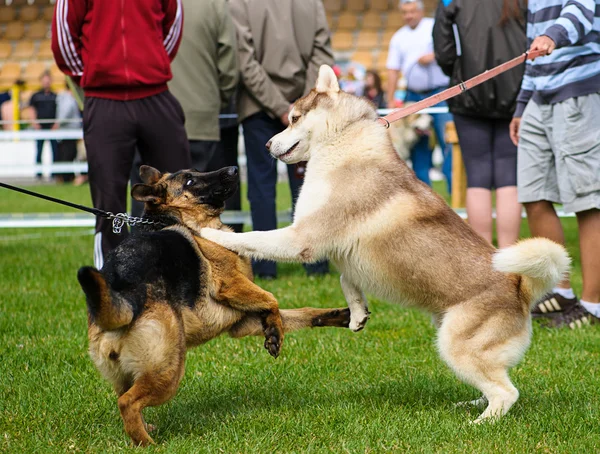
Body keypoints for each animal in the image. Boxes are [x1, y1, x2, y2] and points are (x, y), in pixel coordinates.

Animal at [77, 165, 350, 446]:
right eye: (189, 181)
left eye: (194, 171)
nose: (233, 168)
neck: (177, 218)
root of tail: (119, 296)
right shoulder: (230, 285)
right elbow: (272, 299)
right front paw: (275, 331)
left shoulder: (242, 321)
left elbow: (299, 312)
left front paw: (339, 315)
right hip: (168, 369)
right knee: (127, 402)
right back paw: (148, 443)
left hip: (130, 373)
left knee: (127, 397)